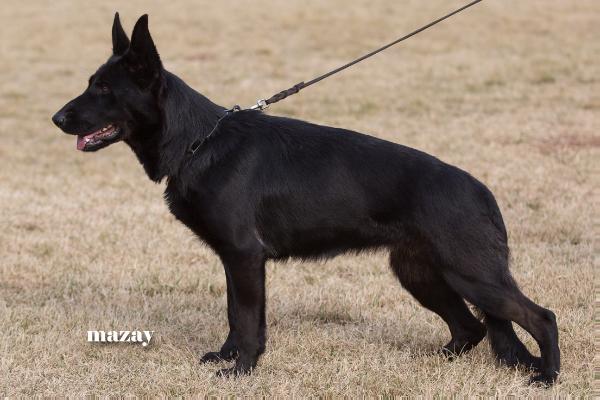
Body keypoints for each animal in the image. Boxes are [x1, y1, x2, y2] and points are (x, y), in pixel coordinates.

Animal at [52, 13, 560, 384]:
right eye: (91, 82)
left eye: (104, 89)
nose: (56, 118)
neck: (199, 142)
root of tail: (482, 191)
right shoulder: (235, 261)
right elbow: (235, 314)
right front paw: (228, 357)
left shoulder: (244, 257)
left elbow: (247, 318)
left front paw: (241, 370)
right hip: (422, 275)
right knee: (472, 328)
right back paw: (438, 362)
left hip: (471, 277)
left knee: (541, 317)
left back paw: (548, 376)